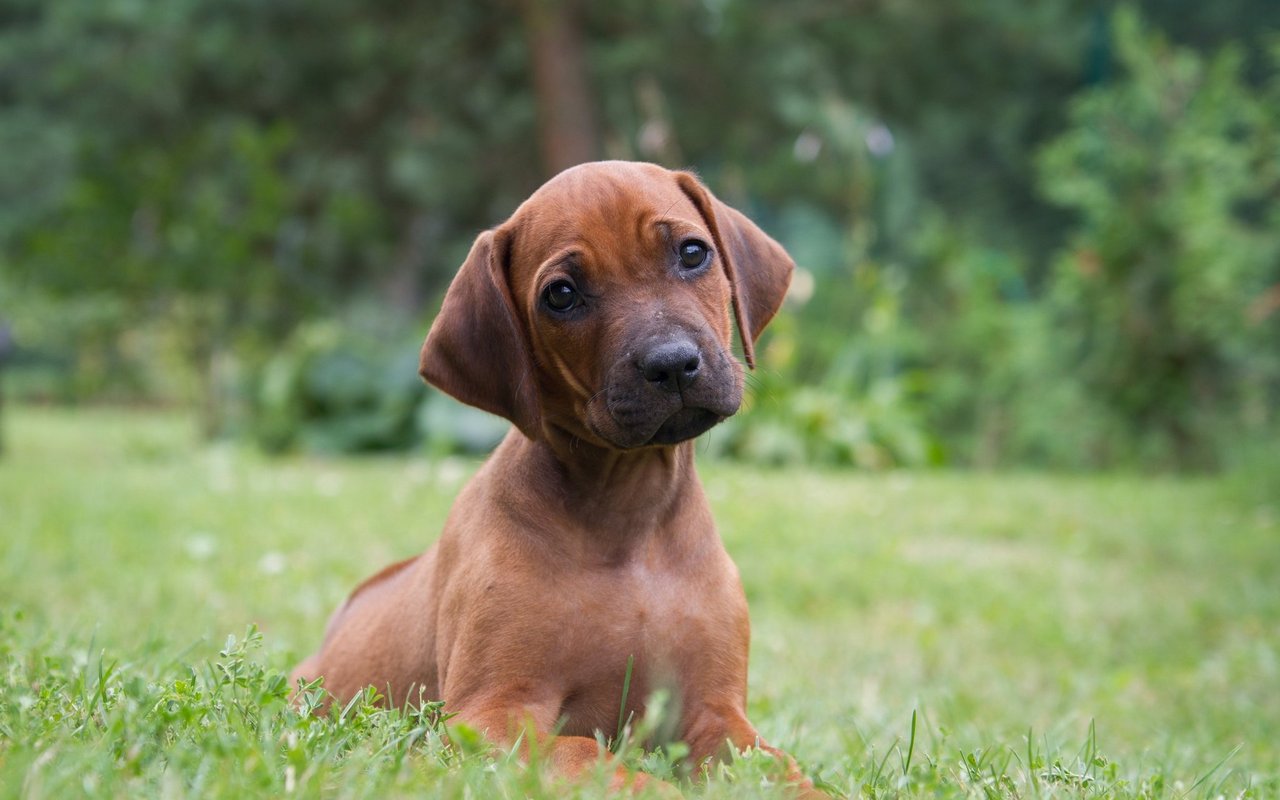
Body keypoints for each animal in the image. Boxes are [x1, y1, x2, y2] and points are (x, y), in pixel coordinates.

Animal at [293, 160, 814, 793]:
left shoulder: (715, 713)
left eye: (693, 253)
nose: (672, 364)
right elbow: (586, 754)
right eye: (561, 295)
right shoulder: (490, 712)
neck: (628, 515)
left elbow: (780, 768)